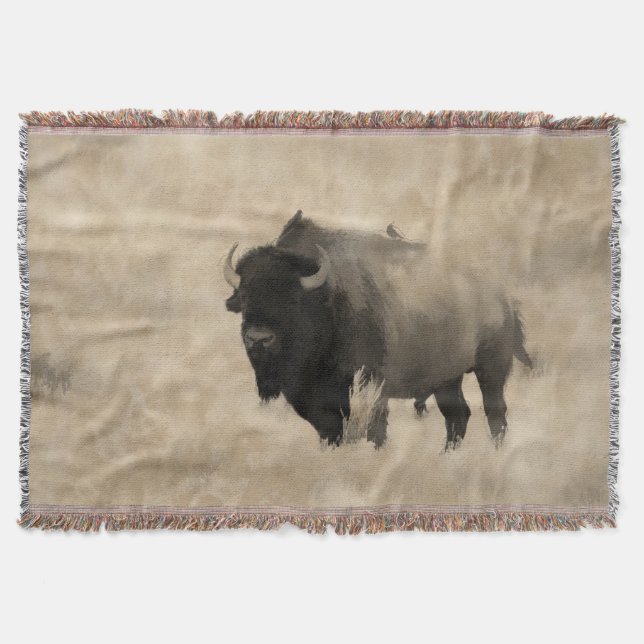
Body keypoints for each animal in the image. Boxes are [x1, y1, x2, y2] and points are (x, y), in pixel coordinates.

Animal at [224, 211, 531, 450]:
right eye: (245, 297)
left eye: (292, 300)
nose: (258, 339)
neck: (328, 300)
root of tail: (503, 296)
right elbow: (330, 431)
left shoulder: (371, 385)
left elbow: (375, 430)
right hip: (447, 378)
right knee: (458, 415)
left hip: (491, 368)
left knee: (494, 412)